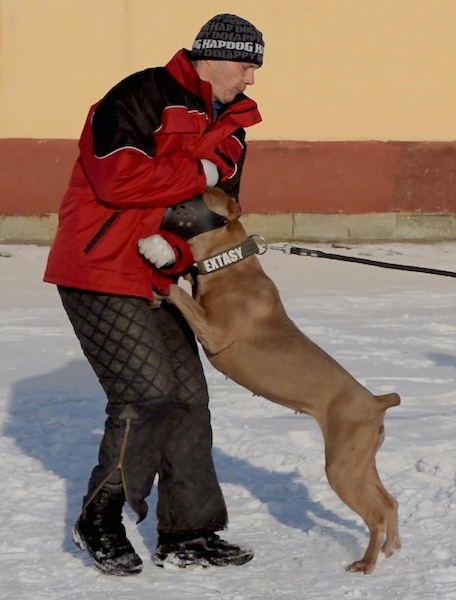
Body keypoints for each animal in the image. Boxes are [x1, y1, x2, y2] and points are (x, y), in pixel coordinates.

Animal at [166, 190, 400, 576]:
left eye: (192, 200)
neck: (228, 264)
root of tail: (375, 401)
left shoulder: (215, 333)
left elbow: (182, 297)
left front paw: (161, 280)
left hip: (342, 469)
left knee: (375, 515)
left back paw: (366, 563)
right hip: (361, 463)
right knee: (390, 502)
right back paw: (392, 548)